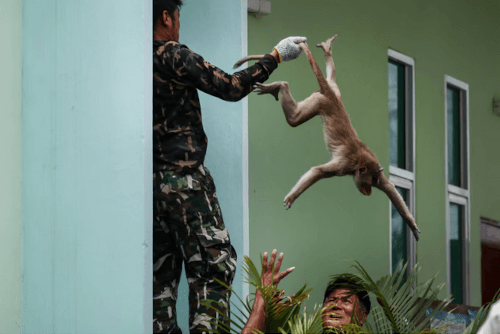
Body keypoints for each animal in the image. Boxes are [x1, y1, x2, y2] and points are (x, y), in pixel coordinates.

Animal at [235, 36, 422, 240]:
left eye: (373, 182)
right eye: (367, 182)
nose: (370, 190)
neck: (360, 163)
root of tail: (332, 96)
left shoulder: (377, 171)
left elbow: (390, 189)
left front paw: (412, 224)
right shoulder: (344, 165)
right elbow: (318, 171)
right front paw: (293, 196)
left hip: (327, 95)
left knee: (328, 85)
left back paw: (317, 59)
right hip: (320, 101)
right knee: (295, 119)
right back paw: (282, 84)